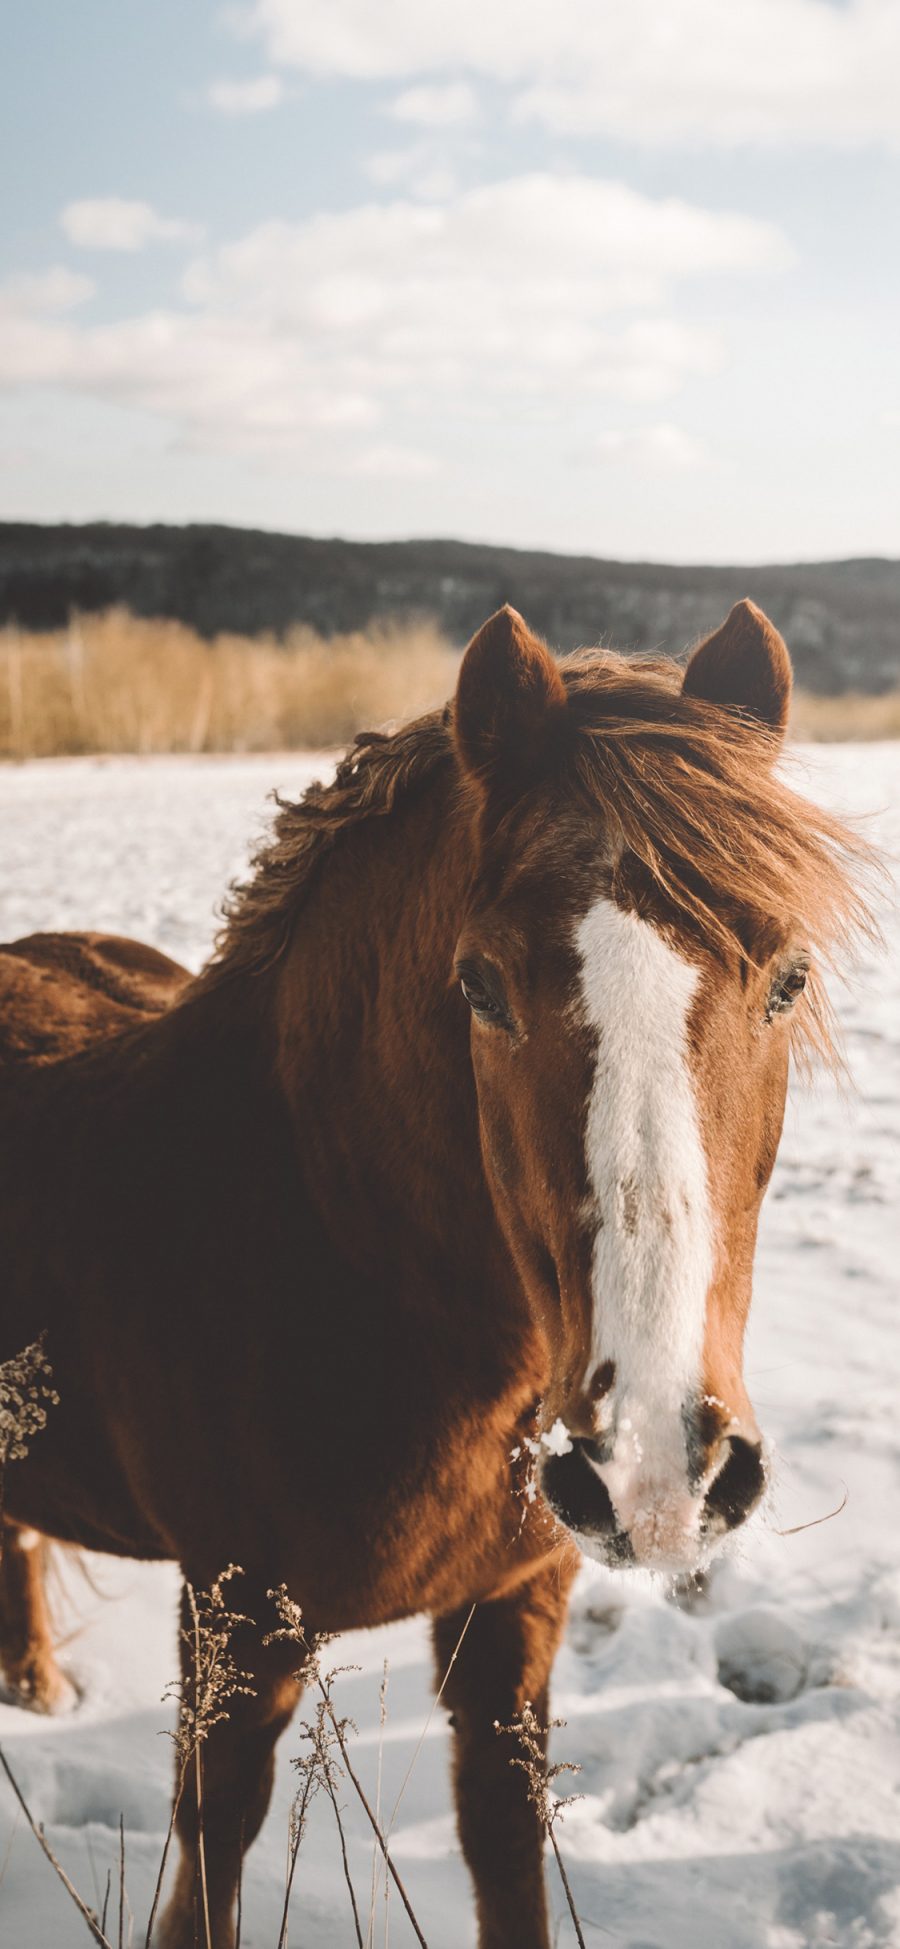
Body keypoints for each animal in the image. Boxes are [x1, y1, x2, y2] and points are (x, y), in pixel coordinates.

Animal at [0, 604, 872, 1949]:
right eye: (481, 985)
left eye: (788, 976)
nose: (657, 1464)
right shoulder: (235, 1627)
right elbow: (211, 1865)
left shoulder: (515, 1604)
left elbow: (504, 1843)